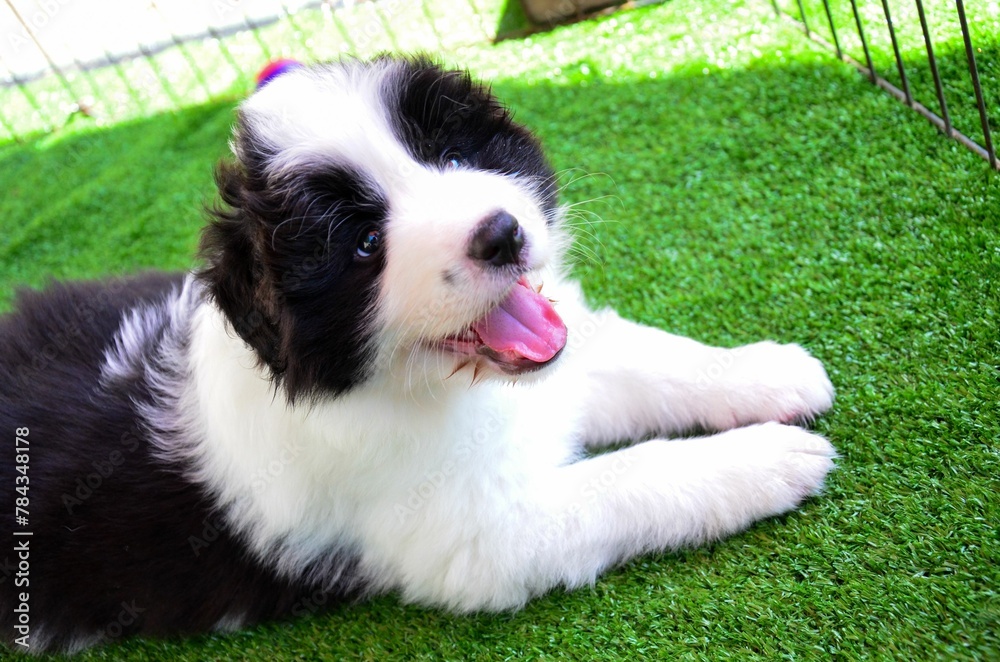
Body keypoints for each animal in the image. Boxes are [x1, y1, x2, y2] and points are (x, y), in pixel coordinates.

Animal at [0, 55, 836, 652]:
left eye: (454, 157)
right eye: (366, 244)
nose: (502, 234)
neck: (430, 387)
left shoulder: (556, 373)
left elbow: (647, 360)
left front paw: (772, 371)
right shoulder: (479, 536)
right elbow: (630, 478)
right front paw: (771, 460)